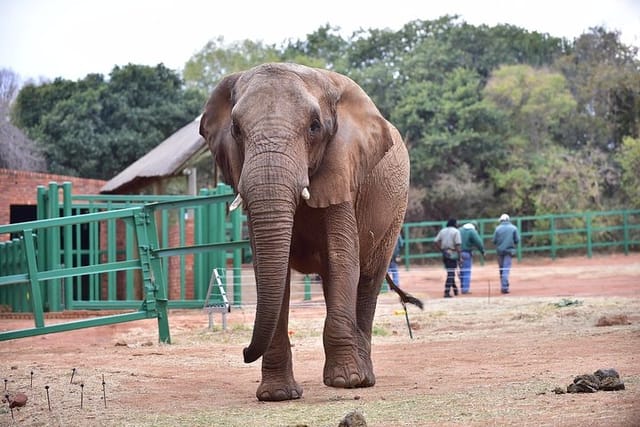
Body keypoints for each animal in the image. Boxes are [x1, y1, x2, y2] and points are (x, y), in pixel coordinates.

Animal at [198, 62, 412, 402]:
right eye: (236, 130)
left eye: (314, 127)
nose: (244, 352)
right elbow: (273, 270)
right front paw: (277, 395)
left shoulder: (343, 167)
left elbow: (342, 260)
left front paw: (346, 382)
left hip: (395, 212)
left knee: (367, 280)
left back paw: (363, 378)